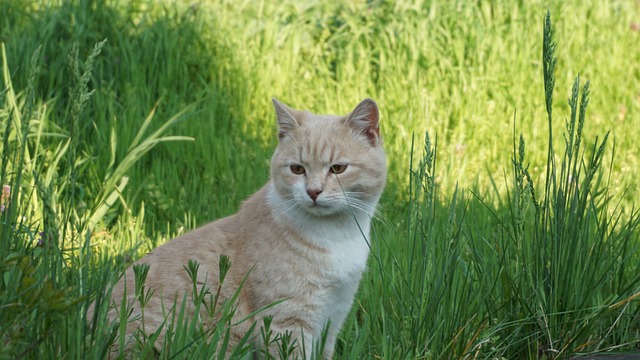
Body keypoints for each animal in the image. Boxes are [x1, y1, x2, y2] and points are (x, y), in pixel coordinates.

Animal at [102, 97, 388, 358]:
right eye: (297, 169)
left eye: (338, 168)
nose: (313, 191)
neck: (336, 236)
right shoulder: (287, 323)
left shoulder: (332, 316)